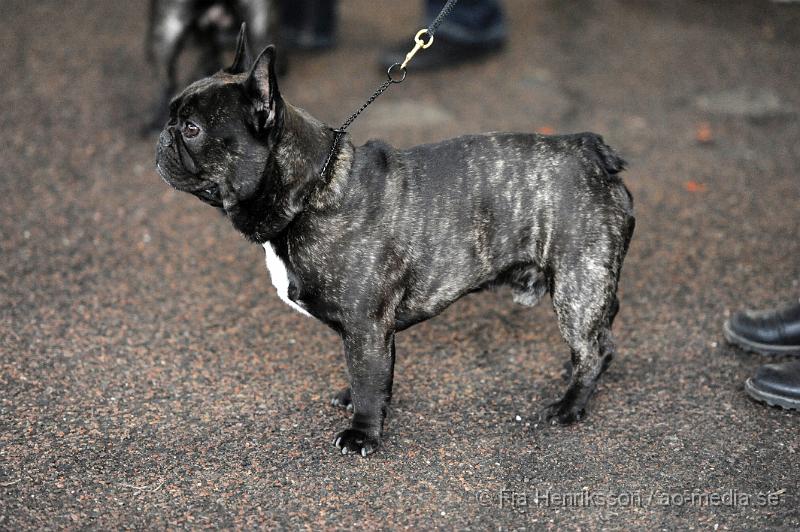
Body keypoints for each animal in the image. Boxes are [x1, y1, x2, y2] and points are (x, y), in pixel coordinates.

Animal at [153, 32, 636, 458]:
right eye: (176, 118)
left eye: (192, 129)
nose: (163, 133)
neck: (312, 191)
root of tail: (592, 151)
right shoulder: (364, 333)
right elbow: (365, 374)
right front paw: (353, 400)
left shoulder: (366, 326)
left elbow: (369, 379)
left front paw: (362, 434)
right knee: (602, 336)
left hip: (577, 285)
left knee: (594, 347)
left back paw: (570, 404)